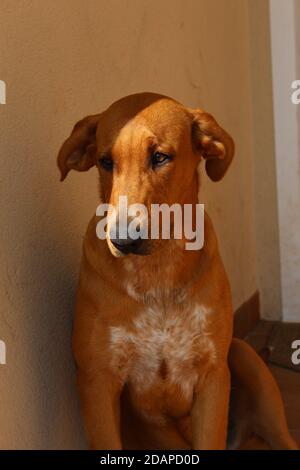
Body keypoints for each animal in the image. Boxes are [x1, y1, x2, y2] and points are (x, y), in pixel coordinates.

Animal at [56, 92, 298, 452]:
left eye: (160, 157)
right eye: (106, 162)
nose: (123, 239)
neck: (158, 271)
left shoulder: (212, 375)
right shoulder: (96, 383)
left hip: (245, 358)